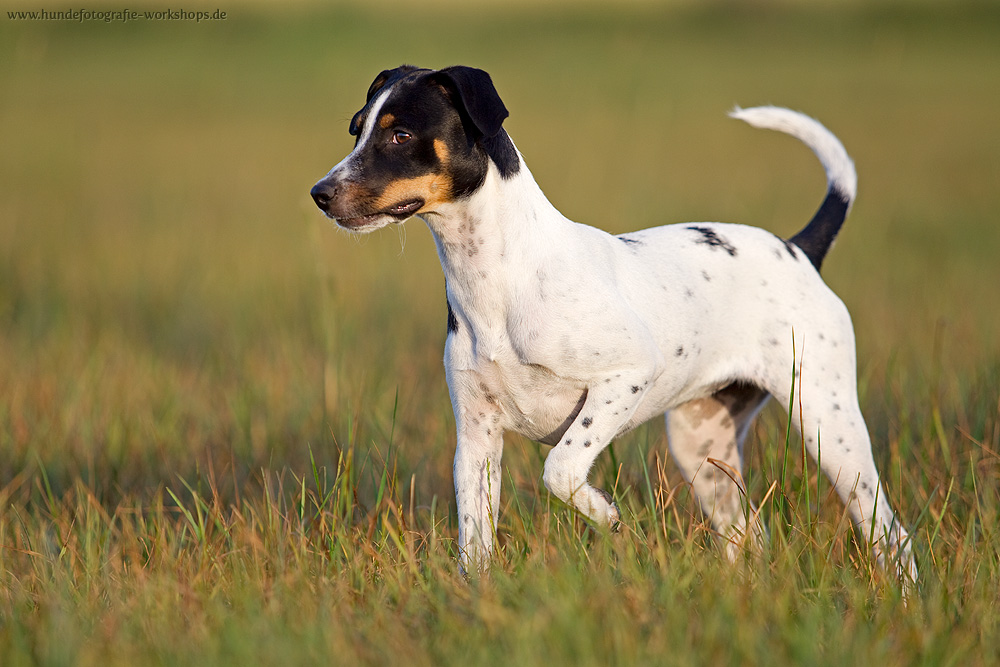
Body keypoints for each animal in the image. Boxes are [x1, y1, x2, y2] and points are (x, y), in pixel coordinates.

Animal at [308, 62, 916, 584]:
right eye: (357, 130)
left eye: (401, 135)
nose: (320, 194)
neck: (498, 283)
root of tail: (798, 249)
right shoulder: (476, 441)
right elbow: (474, 545)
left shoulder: (625, 377)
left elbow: (560, 469)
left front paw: (607, 515)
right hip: (702, 444)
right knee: (750, 535)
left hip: (828, 425)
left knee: (892, 535)